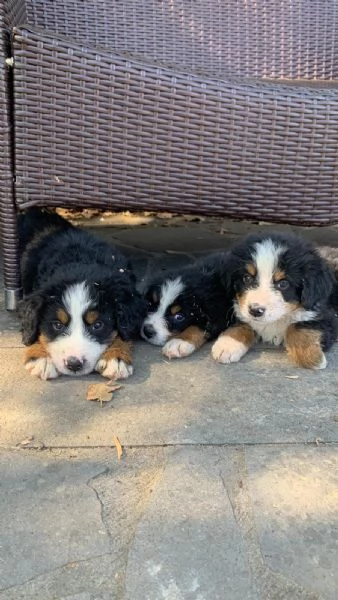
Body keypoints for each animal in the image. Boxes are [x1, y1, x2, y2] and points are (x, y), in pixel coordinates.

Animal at [18, 209, 145, 380]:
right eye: (57, 325)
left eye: (98, 325)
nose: (74, 364)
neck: (80, 260)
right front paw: (41, 358)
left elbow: (124, 333)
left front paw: (116, 357)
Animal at [211, 231, 338, 368]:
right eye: (247, 278)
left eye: (283, 284)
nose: (255, 311)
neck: (277, 319)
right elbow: (243, 323)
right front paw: (227, 344)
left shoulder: (325, 315)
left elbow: (298, 326)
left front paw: (311, 356)